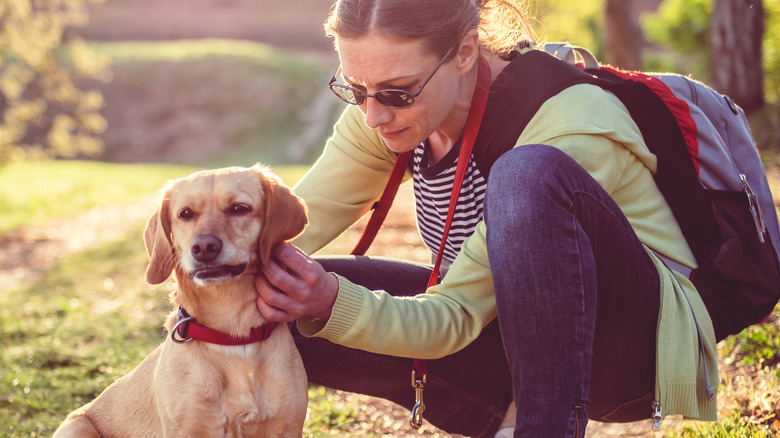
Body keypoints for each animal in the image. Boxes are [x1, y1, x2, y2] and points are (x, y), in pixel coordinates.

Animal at [53, 164, 310, 438]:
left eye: (239, 208)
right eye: (185, 214)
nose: (204, 247)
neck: (232, 337)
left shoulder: (287, 428)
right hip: (77, 428)